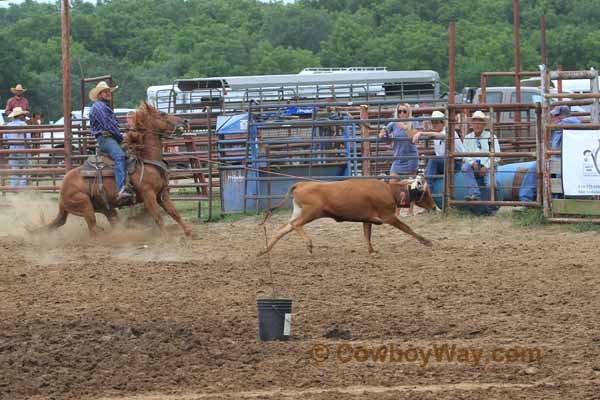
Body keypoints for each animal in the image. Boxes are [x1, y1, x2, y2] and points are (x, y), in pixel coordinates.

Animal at [35, 102, 190, 238]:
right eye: (162, 114)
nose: (185, 121)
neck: (146, 160)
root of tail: (62, 191)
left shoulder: (162, 194)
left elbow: (174, 213)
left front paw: (188, 233)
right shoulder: (148, 194)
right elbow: (157, 217)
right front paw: (166, 237)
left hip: (106, 208)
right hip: (84, 204)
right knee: (93, 228)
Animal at [258, 177, 436, 255]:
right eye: (426, 193)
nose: (434, 207)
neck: (389, 191)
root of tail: (301, 184)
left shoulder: (367, 220)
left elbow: (367, 235)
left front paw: (371, 251)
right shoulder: (388, 216)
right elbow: (407, 228)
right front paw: (426, 241)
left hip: (300, 211)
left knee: (283, 228)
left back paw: (264, 250)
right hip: (311, 212)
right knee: (296, 225)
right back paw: (308, 244)